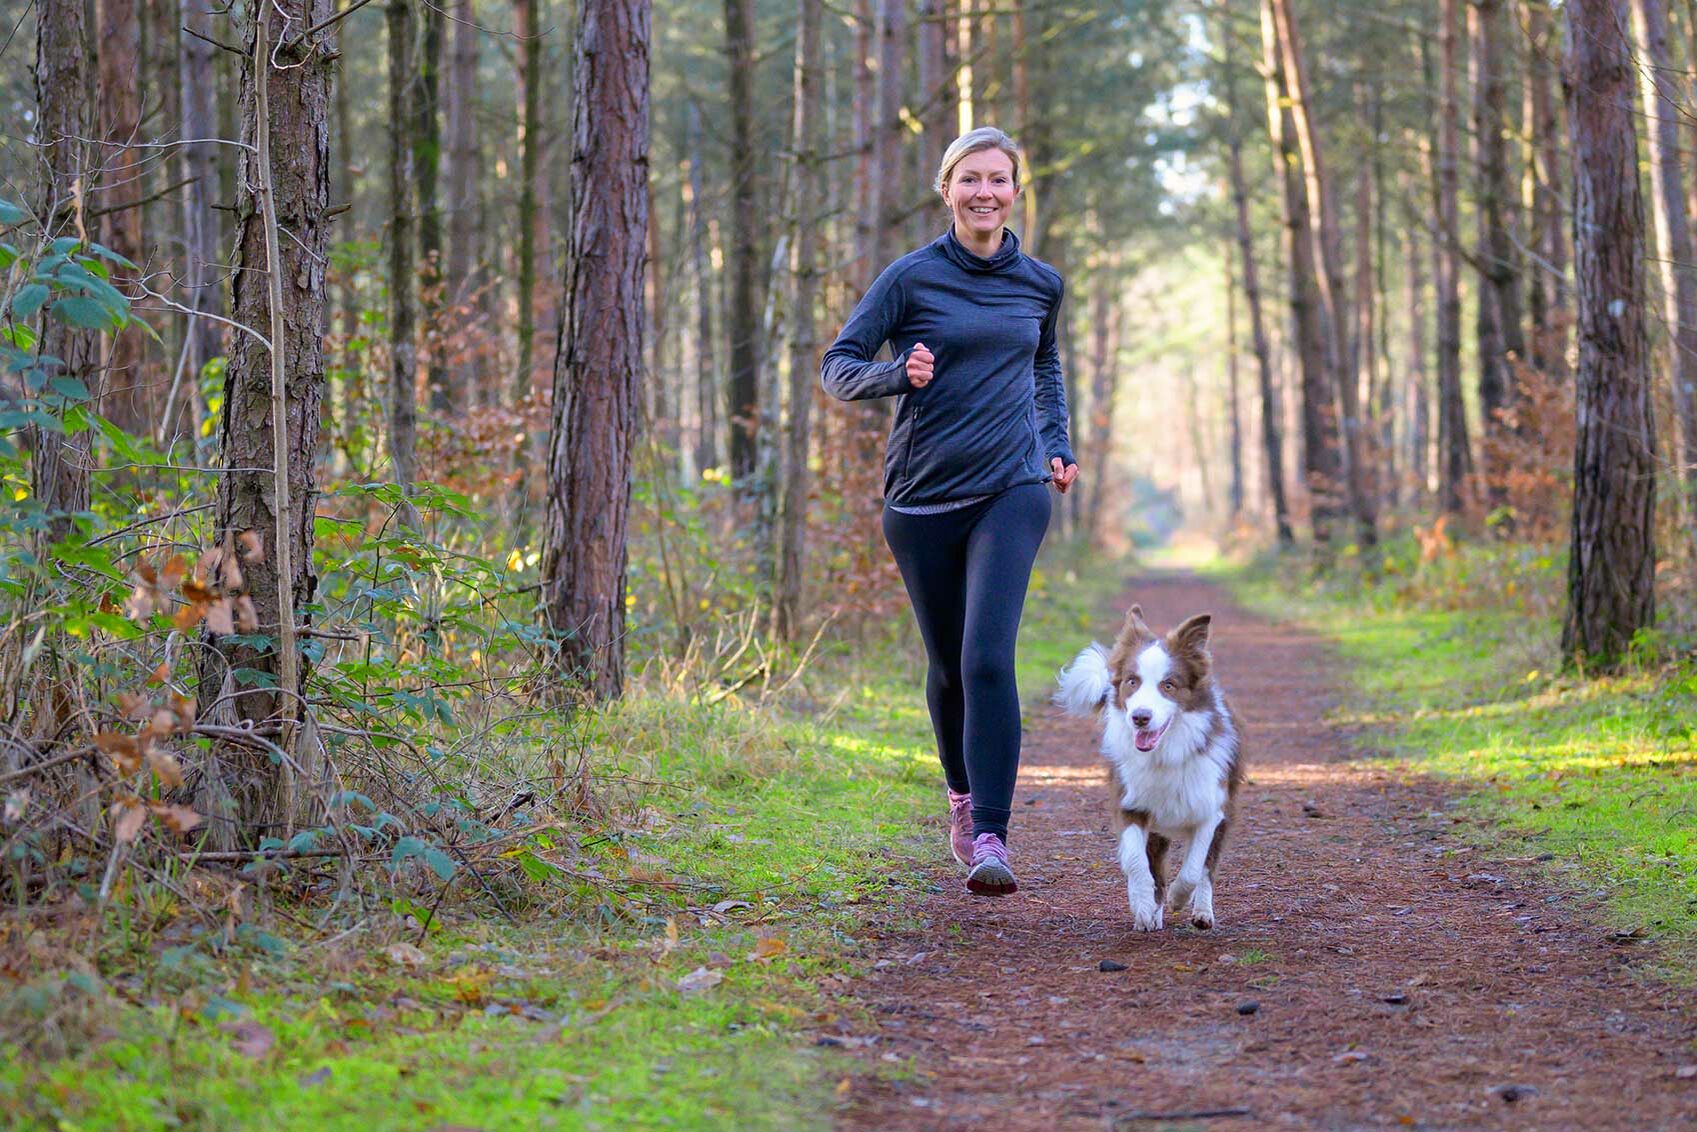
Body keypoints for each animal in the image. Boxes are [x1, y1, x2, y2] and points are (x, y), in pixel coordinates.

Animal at [1052, 607, 1242, 936]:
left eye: (1168, 685)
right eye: (1132, 681)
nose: (1140, 717)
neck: (1164, 754)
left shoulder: (1210, 809)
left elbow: (1194, 868)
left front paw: (1180, 898)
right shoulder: (1132, 805)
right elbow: (1136, 863)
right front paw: (1142, 907)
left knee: (1207, 867)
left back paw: (1201, 912)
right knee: (1156, 869)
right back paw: (1155, 912)